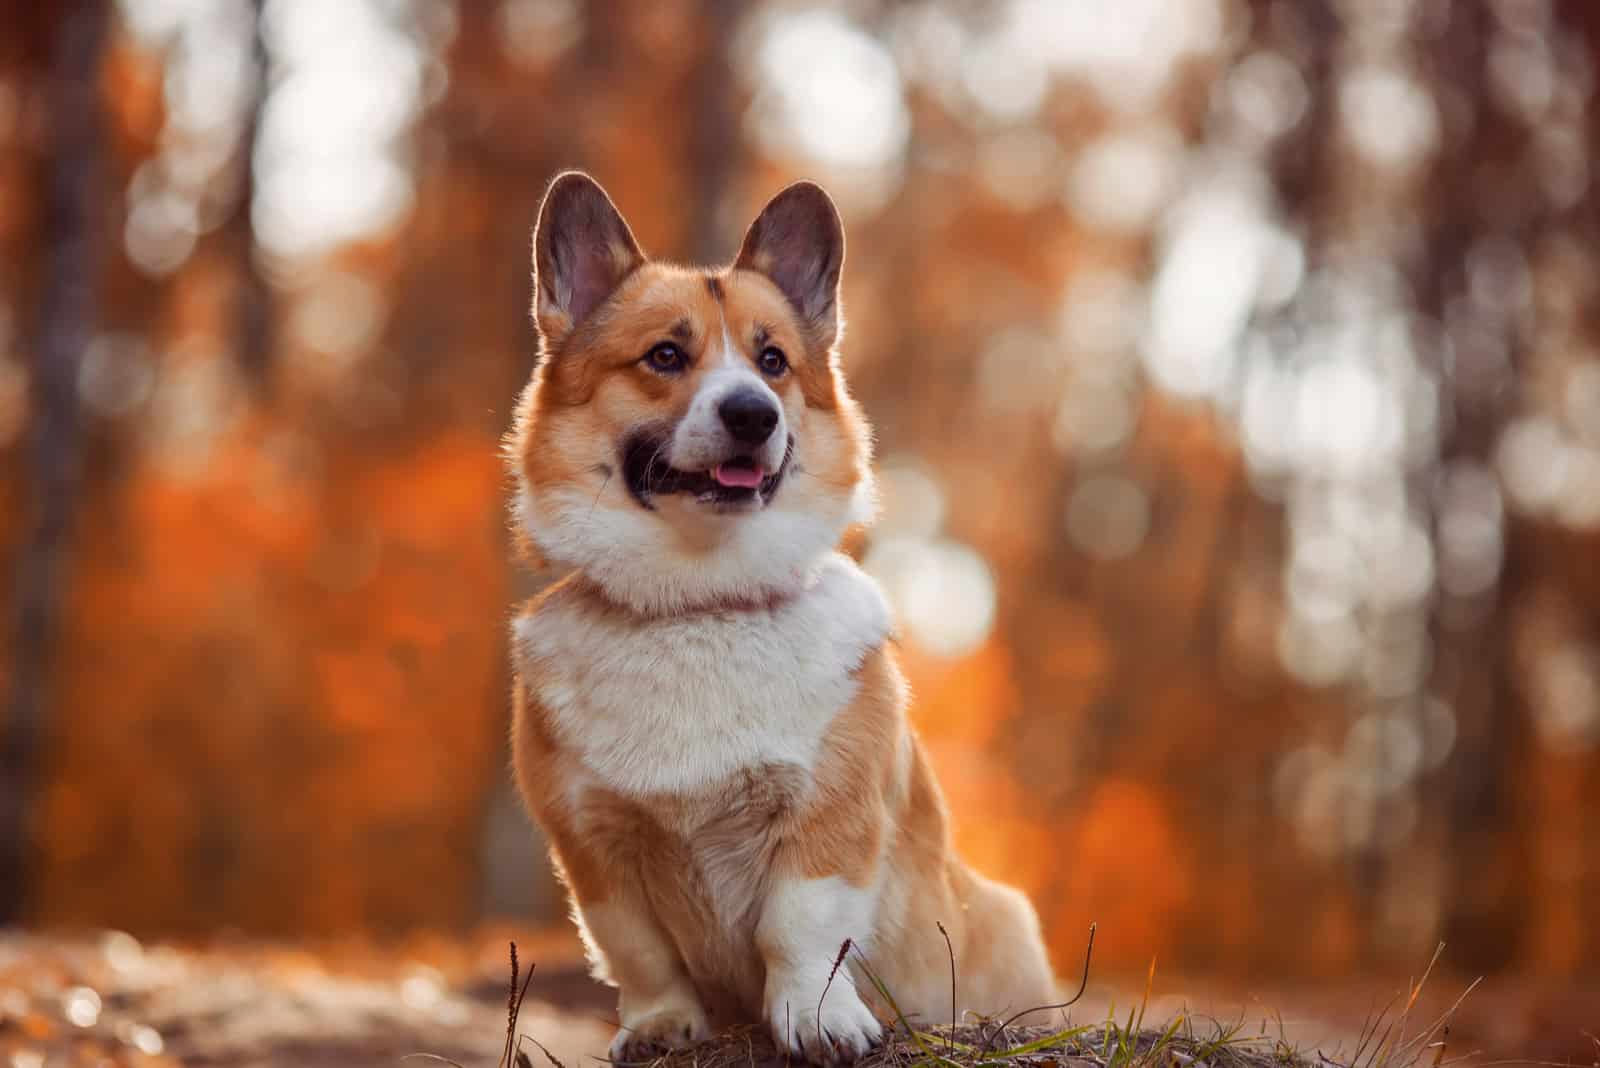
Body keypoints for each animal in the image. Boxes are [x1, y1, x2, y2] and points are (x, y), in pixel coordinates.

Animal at [512, 171, 1056, 1061]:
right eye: (666, 355)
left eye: (773, 363)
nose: (752, 415)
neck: (701, 601)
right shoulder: (594, 846)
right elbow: (639, 952)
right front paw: (661, 1026)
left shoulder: (827, 819)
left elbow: (798, 930)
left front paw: (818, 1019)